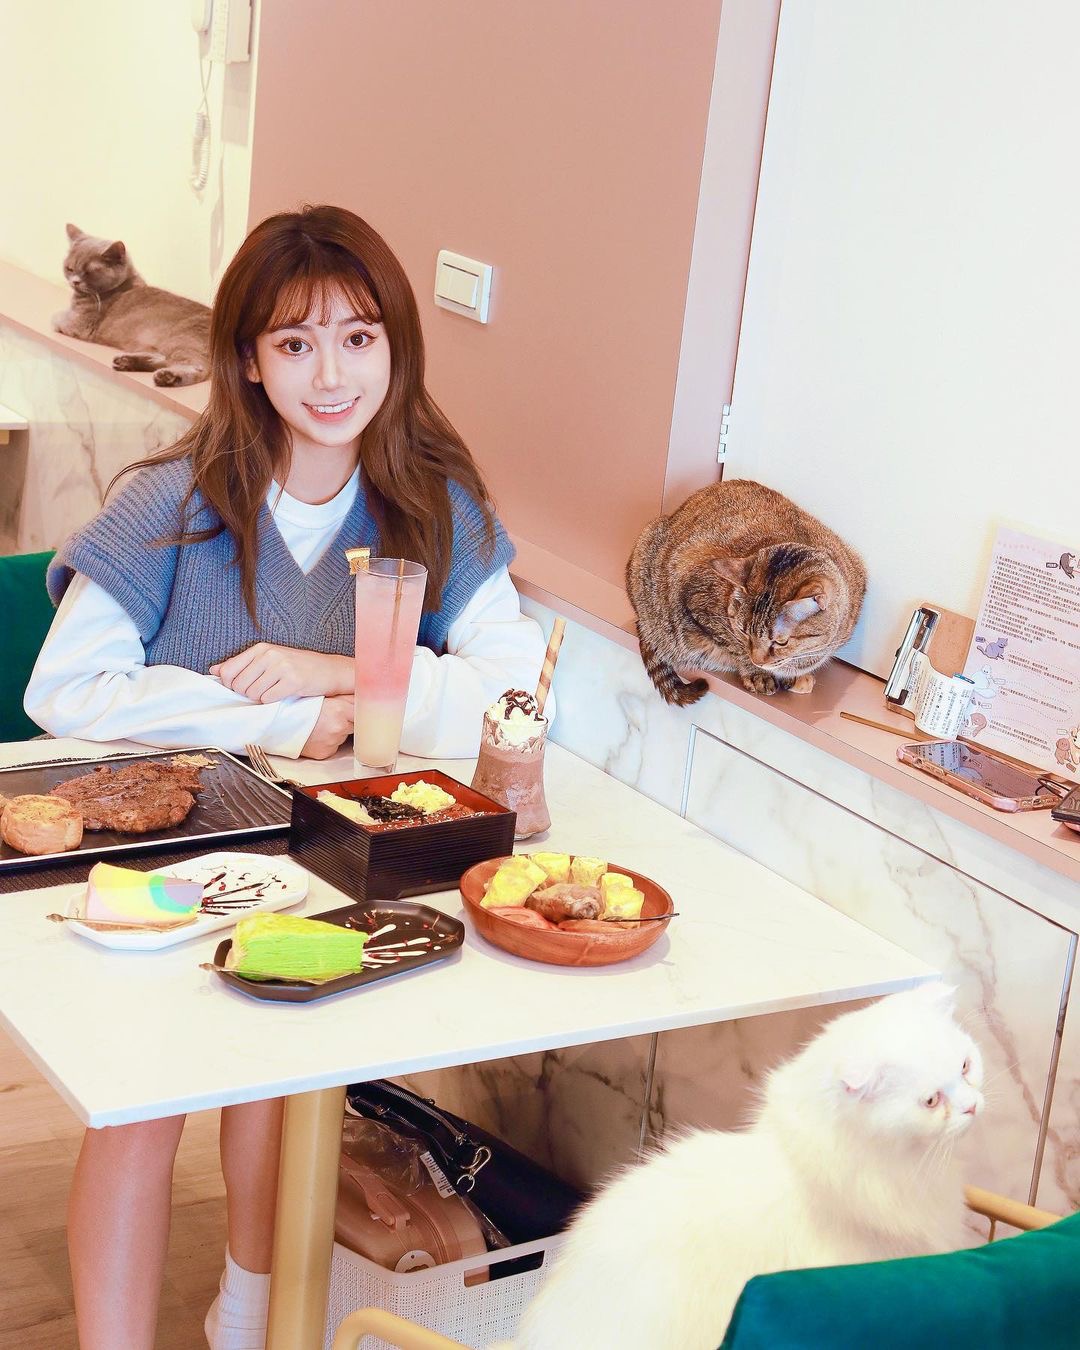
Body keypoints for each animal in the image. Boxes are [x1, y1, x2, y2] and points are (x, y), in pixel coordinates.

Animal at [52, 223, 211, 386]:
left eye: (88, 272)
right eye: (69, 268)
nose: (75, 281)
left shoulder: (79, 324)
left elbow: (56, 318)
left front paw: (56, 318)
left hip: (183, 339)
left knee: (196, 367)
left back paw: (168, 377)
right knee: (164, 359)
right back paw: (126, 362)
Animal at [626, 479, 867, 705]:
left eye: (781, 642)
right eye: (743, 632)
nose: (757, 660)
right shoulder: (698, 603)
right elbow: (734, 645)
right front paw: (756, 672)